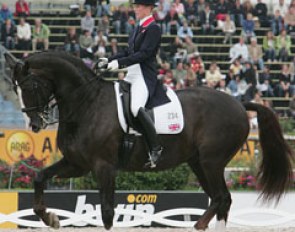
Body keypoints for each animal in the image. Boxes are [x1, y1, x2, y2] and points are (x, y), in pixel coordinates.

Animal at [4, 51, 295, 231]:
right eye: (16, 89)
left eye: (29, 86)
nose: (35, 124)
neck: (86, 103)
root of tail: (239, 103)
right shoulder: (77, 165)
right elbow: (39, 177)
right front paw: (51, 218)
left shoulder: (103, 166)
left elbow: (107, 211)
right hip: (199, 163)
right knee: (220, 200)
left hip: (212, 162)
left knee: (222, 198)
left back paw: (198, 225)